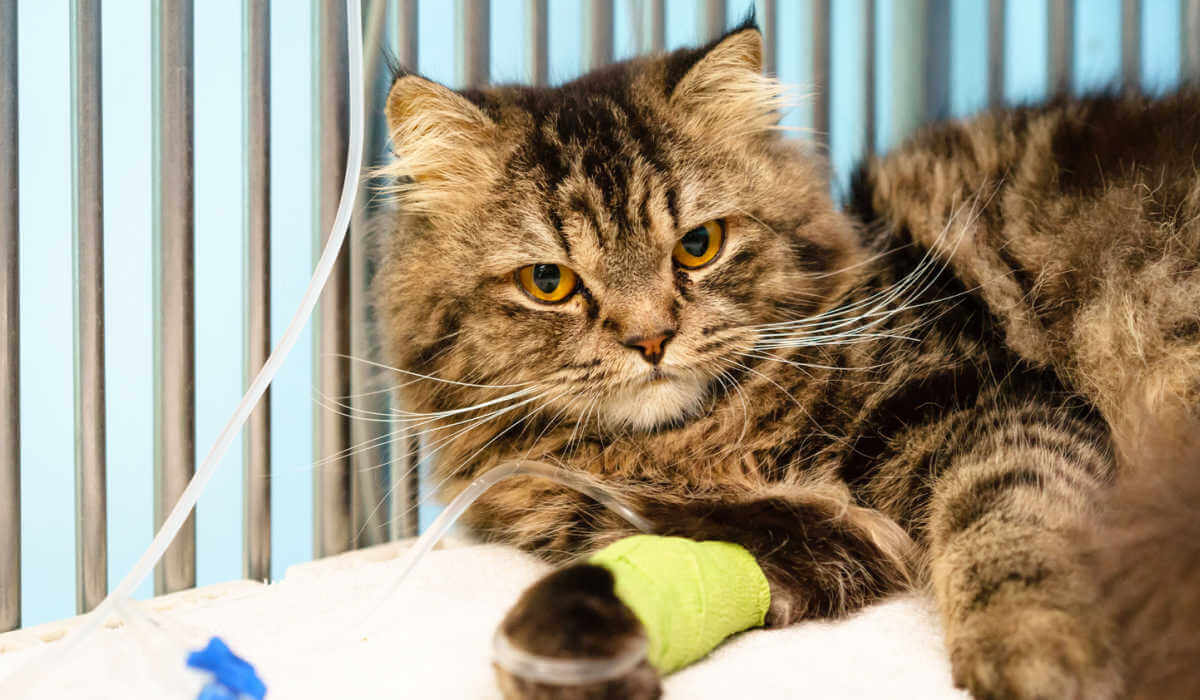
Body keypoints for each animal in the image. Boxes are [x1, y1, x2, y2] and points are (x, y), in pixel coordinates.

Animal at [374, 16, 1200, 700]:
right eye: (549, 282)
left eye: (698, 245)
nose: (650, 339)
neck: (700, 442)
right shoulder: (782, 541)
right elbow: (627, 578)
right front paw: (563, 664)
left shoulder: (988, 398)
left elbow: (1008, 522)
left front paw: (1037, 651)